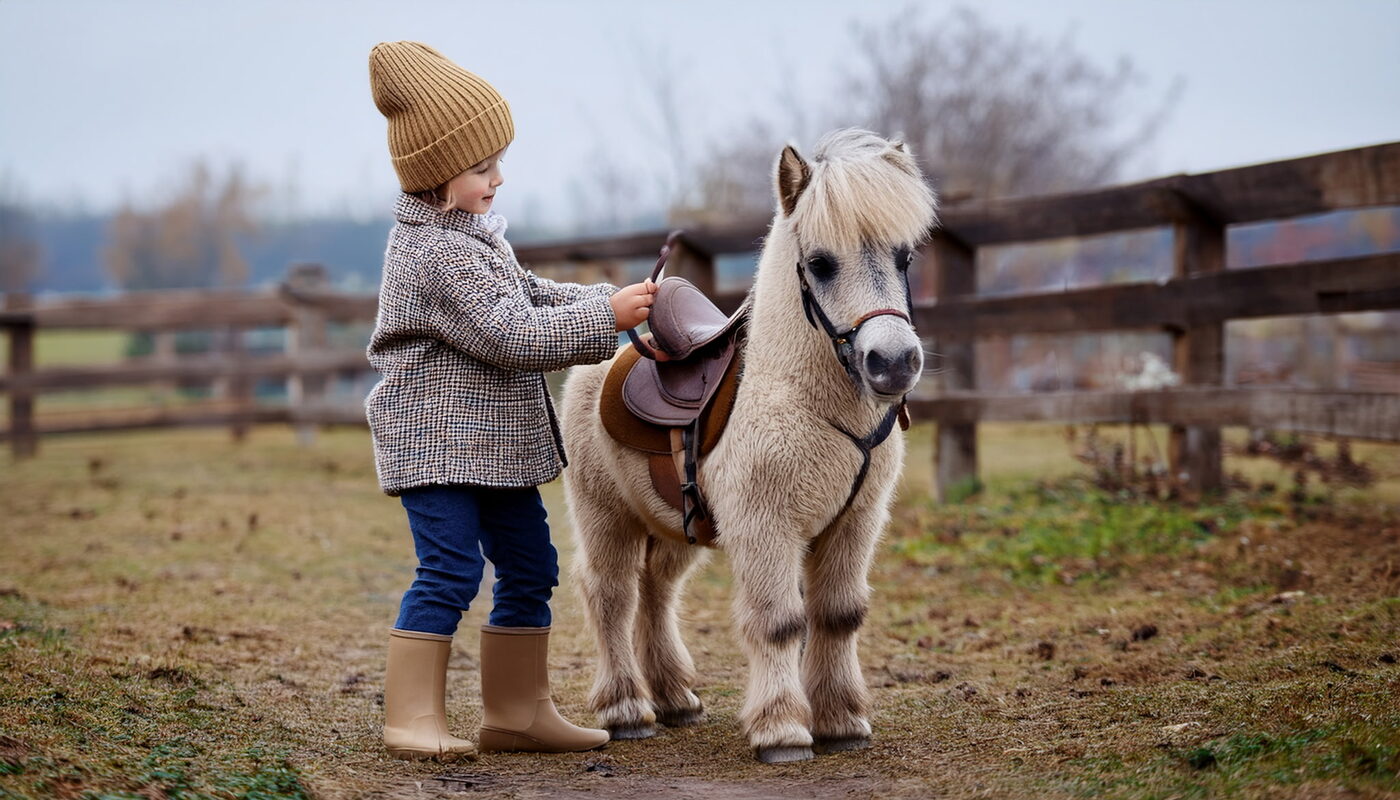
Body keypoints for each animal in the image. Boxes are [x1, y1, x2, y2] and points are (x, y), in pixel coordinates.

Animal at [559, 128, 938, 763]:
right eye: (820, 264)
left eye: (904, 257)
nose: (894, 362)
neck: (798, 396)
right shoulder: (766, 527)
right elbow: (779, 622)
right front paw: (782, 729)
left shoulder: (854, 524)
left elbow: (839, 615)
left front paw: (842, 721)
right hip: (605, 515)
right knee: (610, 593)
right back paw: (627, 708)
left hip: (675, 526)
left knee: (657, 590)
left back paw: (675, 698)